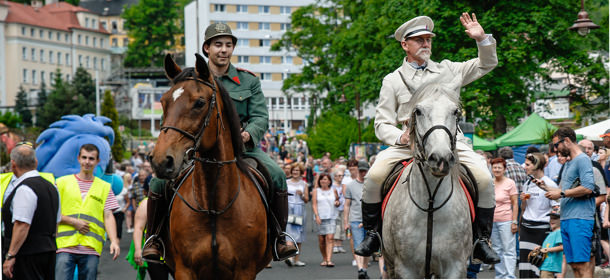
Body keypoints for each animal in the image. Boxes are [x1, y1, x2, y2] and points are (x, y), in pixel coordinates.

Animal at [150, 53, 268, 278]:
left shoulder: (245, 271)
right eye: (163, 101)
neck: (214, 205)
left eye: (199, 103)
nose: (161, 161)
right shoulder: (185, 270)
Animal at [382, 78, 472, 278]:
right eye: (418, 111)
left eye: (455, 112)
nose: (440, 159)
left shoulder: (456, 266)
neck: (431, 202)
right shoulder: (405, 268)